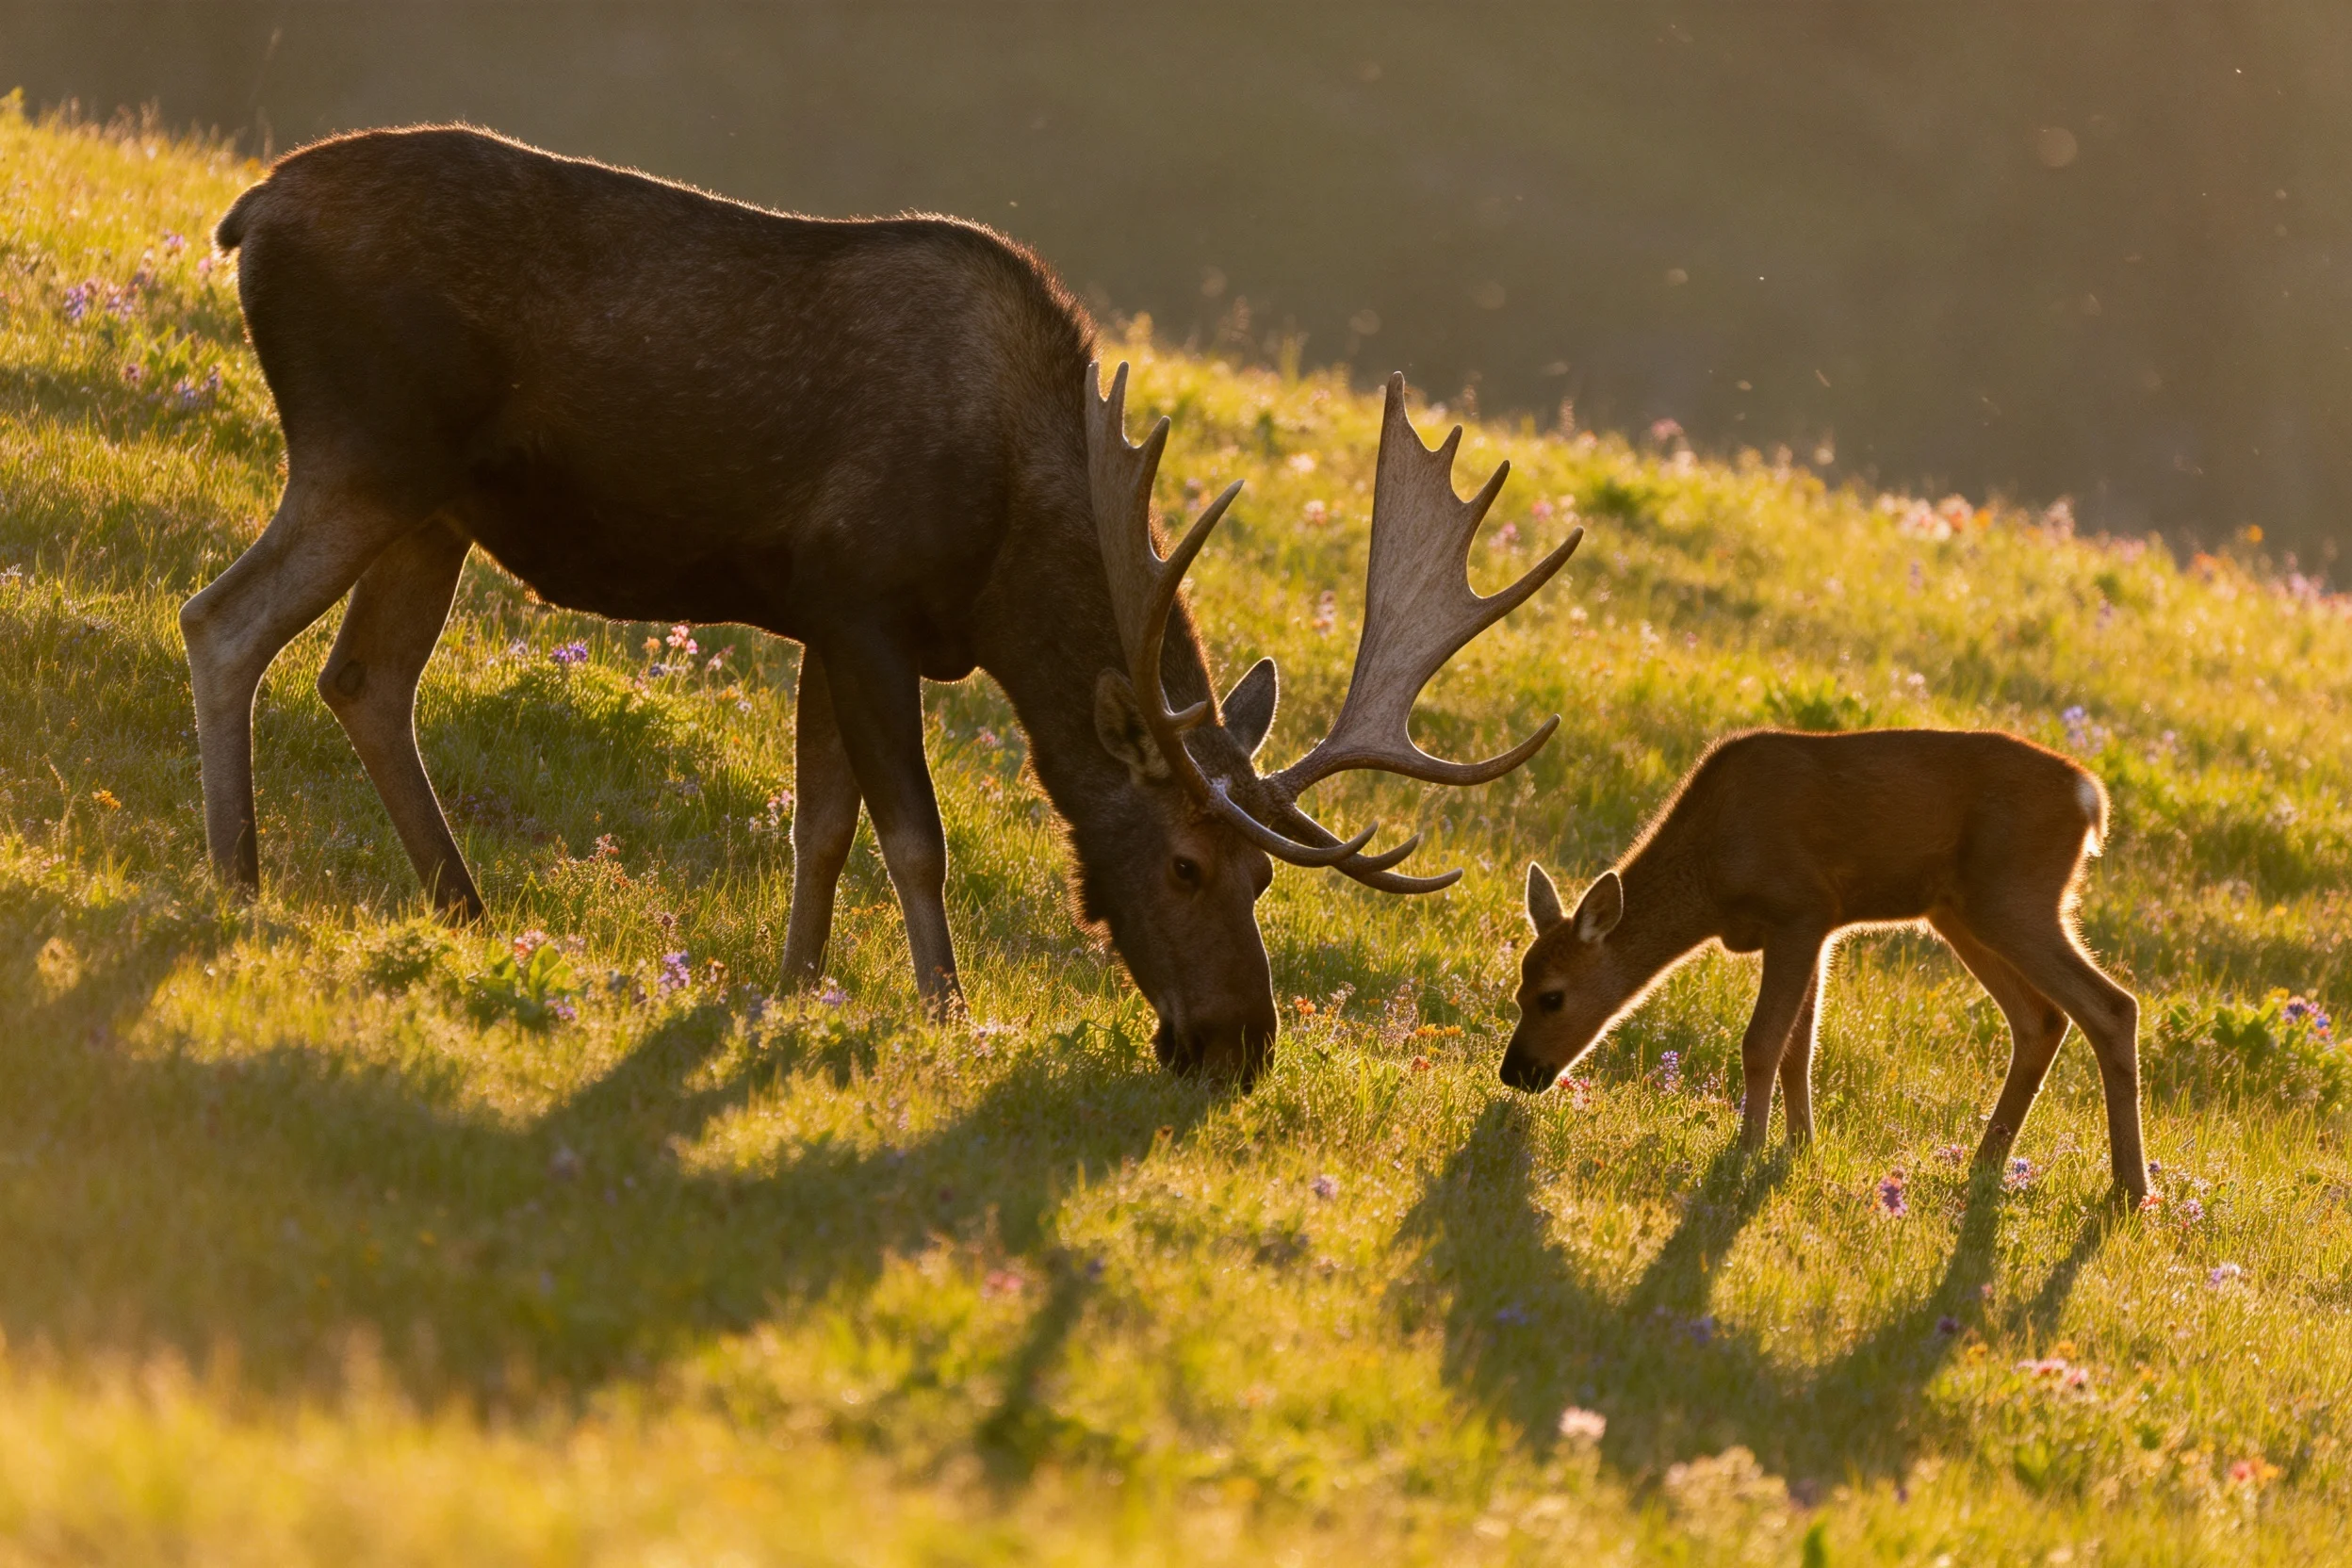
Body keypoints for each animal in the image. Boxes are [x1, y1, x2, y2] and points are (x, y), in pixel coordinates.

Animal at [182, 125, 1581, 1084]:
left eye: (1262, 877)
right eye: (1185, 863)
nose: (1237, 1046)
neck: (1009, 557)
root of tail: (249, 214)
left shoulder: (822, 618)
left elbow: (822, 822)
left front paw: (795, 984)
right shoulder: (862, 603)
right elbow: (912, 833)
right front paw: (944, 1008)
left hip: (436, 509)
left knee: (365, 679)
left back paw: (462, 904)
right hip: (364, 448)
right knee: (223, 620)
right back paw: (238, 875)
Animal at [1498, 728, 2148, 1202]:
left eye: (1553, 995)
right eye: (1518, 993)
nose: (1516, 1072)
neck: (1711, 875)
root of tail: (2090, 797)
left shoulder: (1800, 909)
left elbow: (1762, 1041)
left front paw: (1744, 1152)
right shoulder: (1815, 928)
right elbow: (1798, 1046)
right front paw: (1798, 1148)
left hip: (2014, 896)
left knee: (2113, 1006)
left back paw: (2130, 1189)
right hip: (1960, 912)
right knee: (2042, 1020)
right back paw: (1986, 1167)